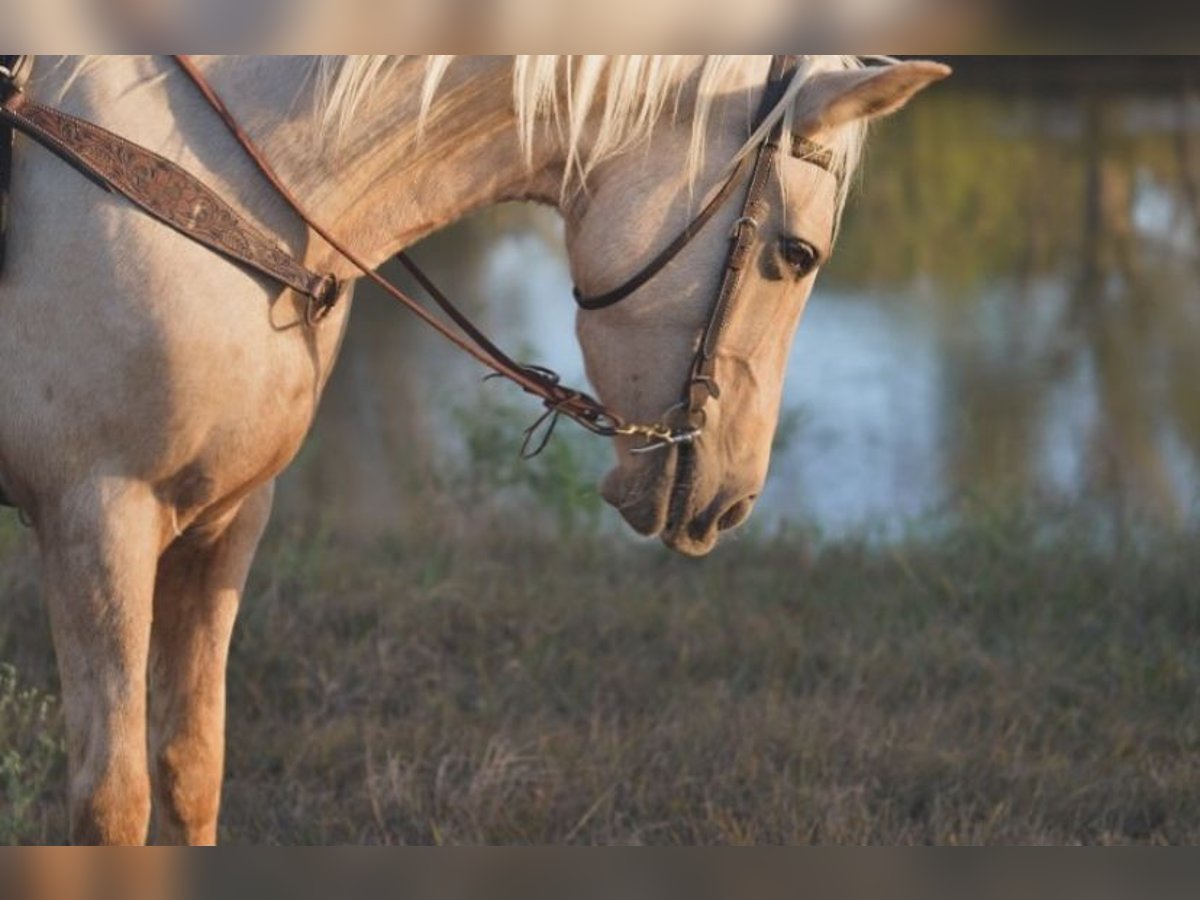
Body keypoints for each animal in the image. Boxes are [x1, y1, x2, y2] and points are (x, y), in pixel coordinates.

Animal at [0, 55, 948, 844]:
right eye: (797, 253)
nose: (734, 501)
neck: (208, 174)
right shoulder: (98, 515)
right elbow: (113, 804)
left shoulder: (226, 520)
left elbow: (192, 769)